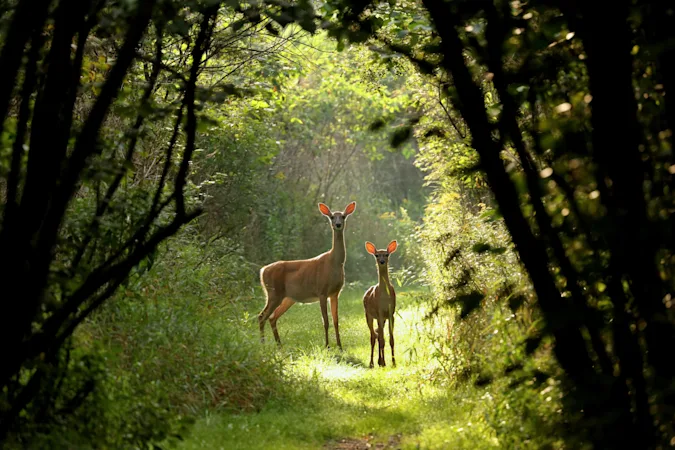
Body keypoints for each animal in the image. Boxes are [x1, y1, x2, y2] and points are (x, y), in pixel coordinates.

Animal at [258, 201, 356, 350]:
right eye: (332, 217)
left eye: (343, 216)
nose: (338, 224)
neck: (334, 263)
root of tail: (262, 270)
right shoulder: (322, 291)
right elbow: (325, 321)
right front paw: (327, 346)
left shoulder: (335, 293)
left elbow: (336, 321)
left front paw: (340, 347)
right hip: (274, 293)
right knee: (262, 316)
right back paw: (263, 346)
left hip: (287, 298)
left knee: (272, 317)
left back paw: (279, 345)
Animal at [363, 240, 398, 368]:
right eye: (377, 255)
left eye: (386, 254)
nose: (382, 261)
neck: (384, 297)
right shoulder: (379, 313)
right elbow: (382, 339)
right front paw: (384, 362)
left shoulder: (391, 313)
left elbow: (391, 339)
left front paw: (393, 362)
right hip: (368, 315)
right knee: (373, 336)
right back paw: (373, 363)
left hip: (381, 318)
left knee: (377, 334)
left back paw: (379, 361)